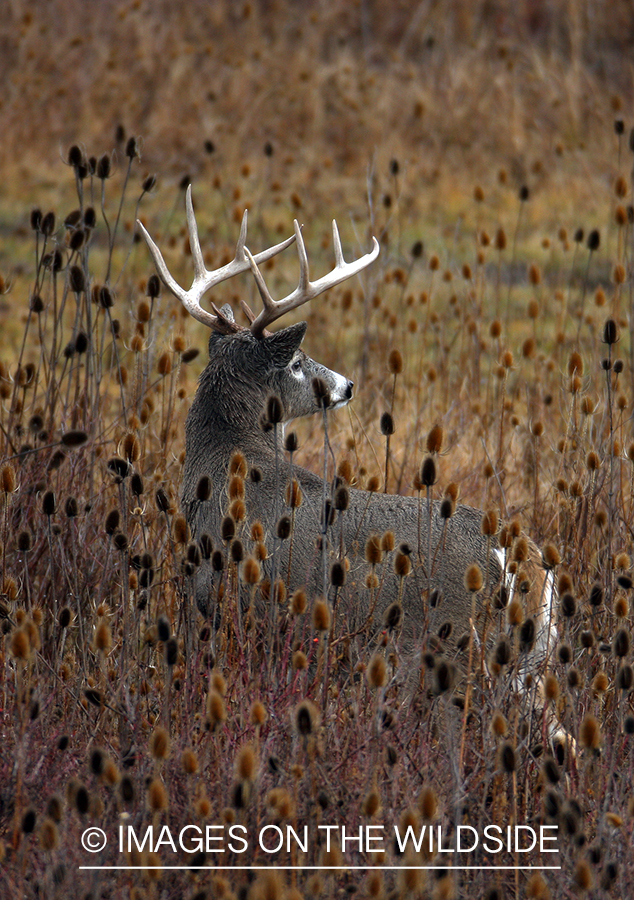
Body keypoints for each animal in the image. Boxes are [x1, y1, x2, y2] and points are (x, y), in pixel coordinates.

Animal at [136, 185, 556, 732]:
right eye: (296, 363)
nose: (347, 385)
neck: (224, 466)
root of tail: (517, 555)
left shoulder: (218, 602)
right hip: (526, 667)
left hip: (453, 651)